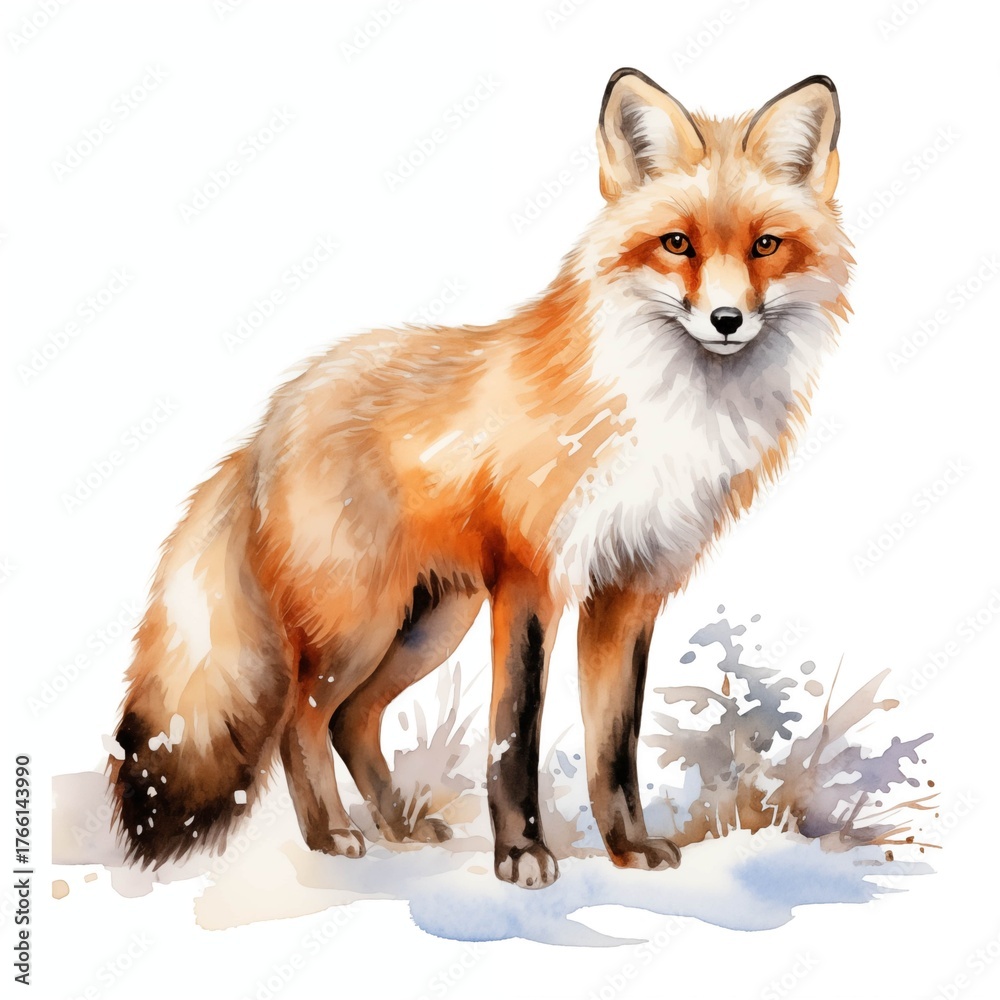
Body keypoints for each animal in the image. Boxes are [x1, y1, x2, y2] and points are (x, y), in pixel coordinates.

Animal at [109, 68, 851, 889]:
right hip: (361, 624)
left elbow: (613, 744)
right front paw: (521, 853)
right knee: (297, 720)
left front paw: (627, 847)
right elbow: (514, 734)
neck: (654, 414)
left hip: (432, 622)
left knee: (352, 719)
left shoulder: (628, 592)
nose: (726, 320)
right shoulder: (532, 581)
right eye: (677, 244)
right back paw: (331, 834)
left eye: (765, 246)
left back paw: (399, 824)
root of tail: (268, 421)